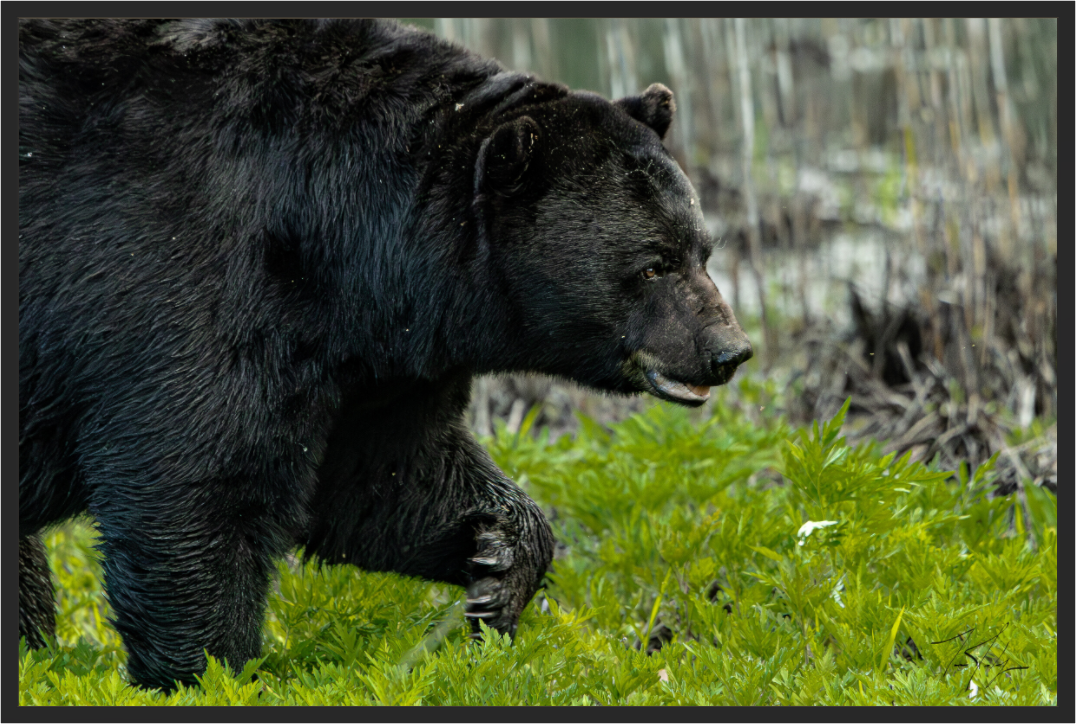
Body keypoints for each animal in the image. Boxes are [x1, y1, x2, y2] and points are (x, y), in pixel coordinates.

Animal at [19, 18, 752, 691]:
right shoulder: (187, 281)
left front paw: (495, 570)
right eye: (652, 264)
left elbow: (383, 474)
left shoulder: (372, 358)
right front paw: (209, 673)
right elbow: (199, 479)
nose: (729, 351)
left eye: (703, 250)